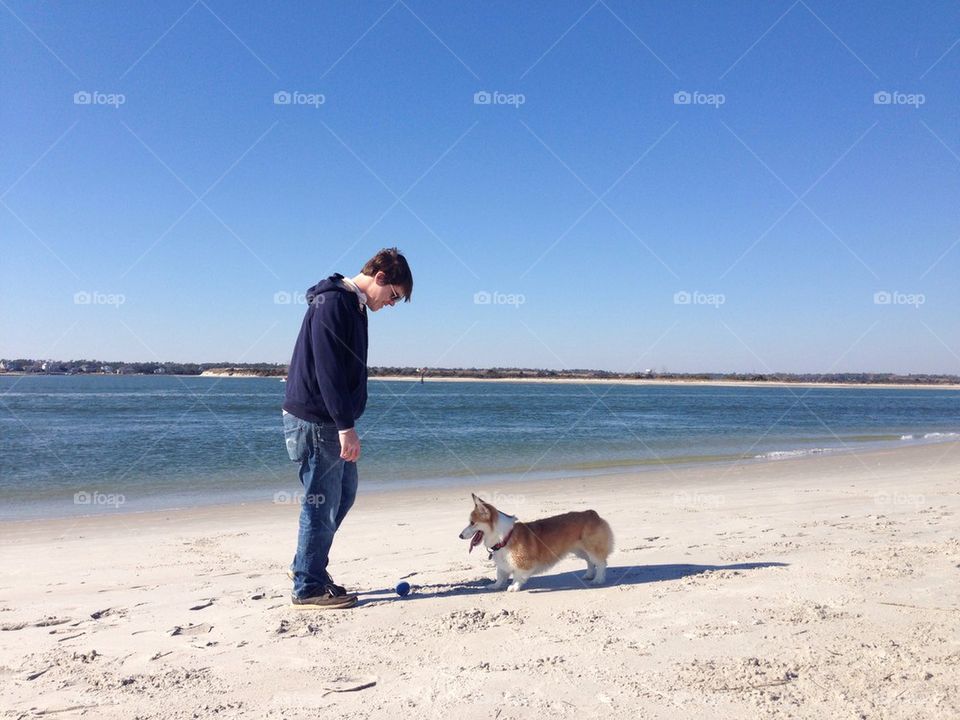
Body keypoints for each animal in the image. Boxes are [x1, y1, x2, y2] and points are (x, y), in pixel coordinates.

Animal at [460, 496, 616, 592]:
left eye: (472, 523)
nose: (460, 536)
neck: (504, 537)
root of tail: (592, 513)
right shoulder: (503, 564)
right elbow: (500, 575)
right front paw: (495, 586)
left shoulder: (523, 564)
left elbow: (517, 576)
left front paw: (514, 587)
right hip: (580, 550)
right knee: (590, 562)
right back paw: (589, 575)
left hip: (591, 548)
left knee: (601, 563)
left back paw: (598, 579)